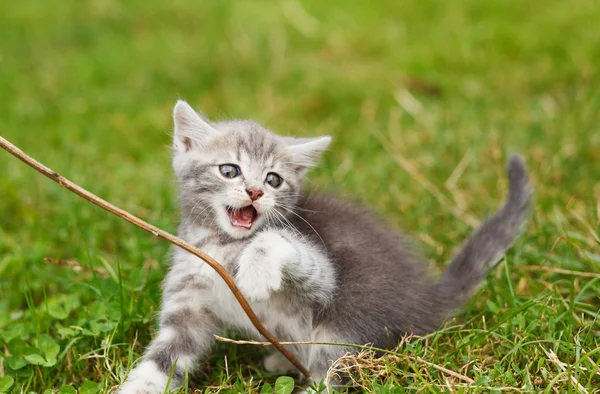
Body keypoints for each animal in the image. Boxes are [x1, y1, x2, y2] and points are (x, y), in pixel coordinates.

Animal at [119, 100, 532, 392]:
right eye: (229, 170)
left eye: (273, 179)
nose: (254, 192)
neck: (222, 244)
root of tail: (425, 300)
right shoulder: (188, 306)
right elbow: (164, 360)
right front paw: (138, 387)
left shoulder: (321, 276)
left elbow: (276, 240)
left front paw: (255, 273)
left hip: (347, 318)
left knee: (332, 370)